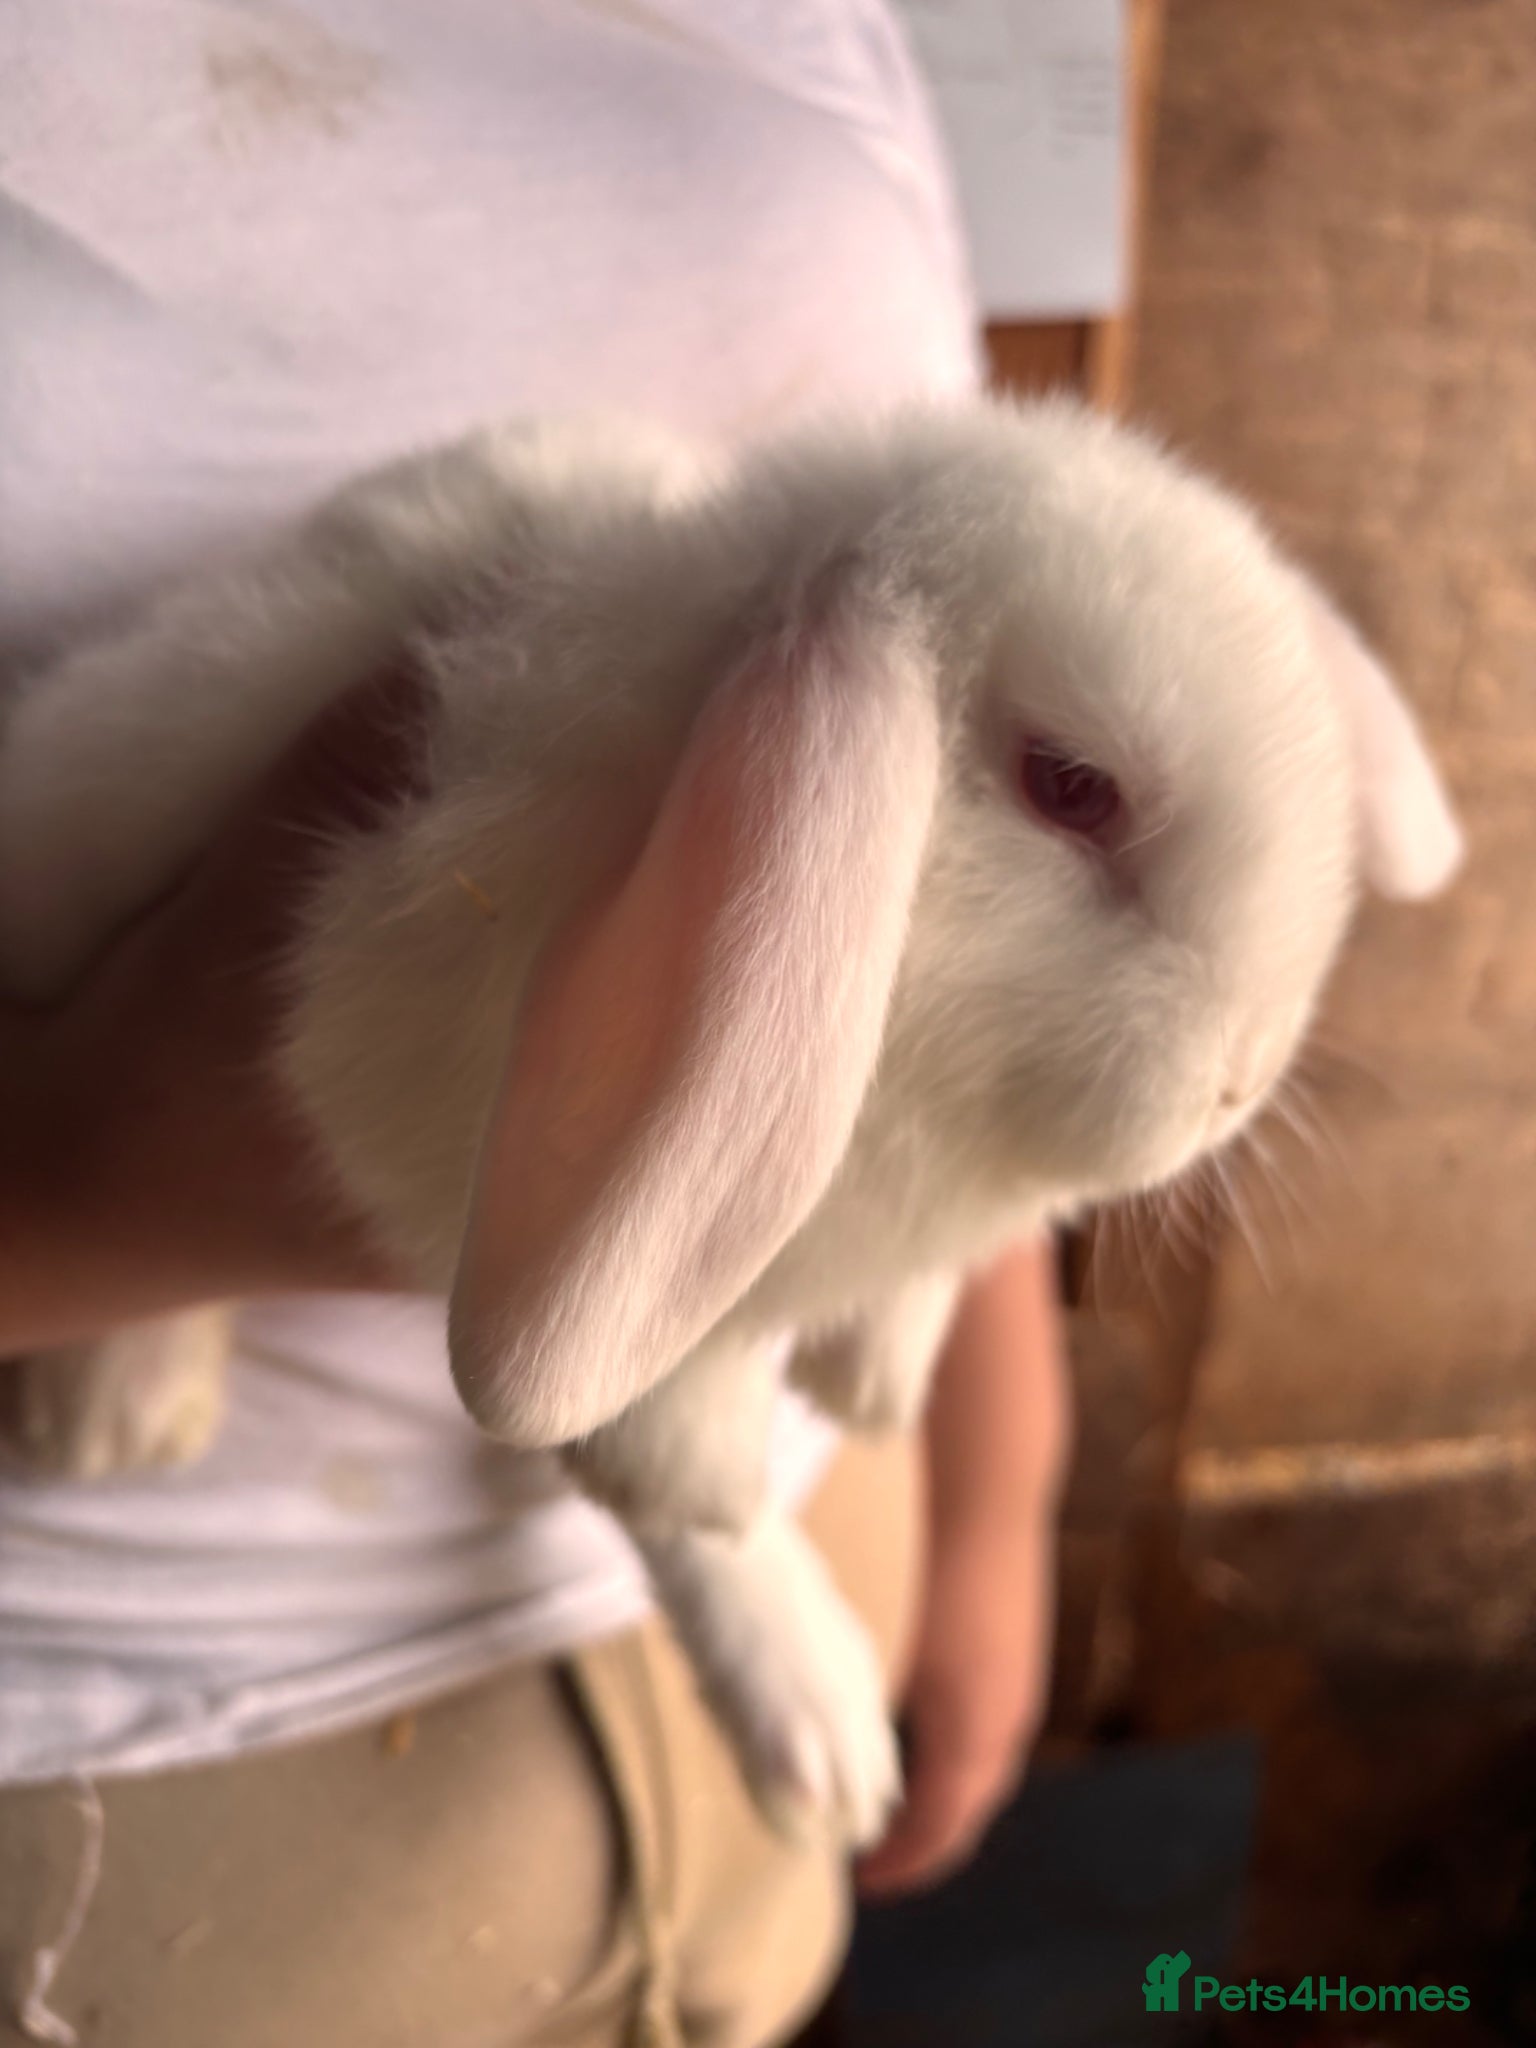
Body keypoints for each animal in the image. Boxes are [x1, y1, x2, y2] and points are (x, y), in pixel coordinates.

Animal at [0, 396, 1462, 1843]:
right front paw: (731, 1527)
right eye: (1071, 783)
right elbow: (648, 1446)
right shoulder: (473, 1145)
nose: (1243, 1073)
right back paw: (114, 1406)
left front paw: (874, 1379)